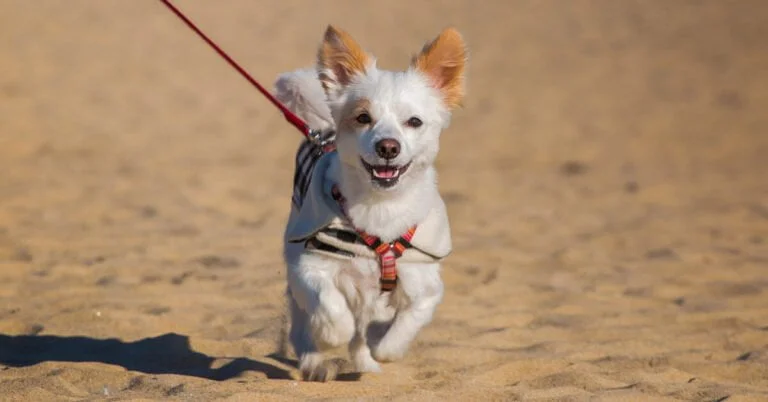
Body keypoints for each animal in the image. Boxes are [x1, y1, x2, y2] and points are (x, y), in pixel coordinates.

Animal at [276, 25, 468, 384]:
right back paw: (315, 361)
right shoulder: (309, 266)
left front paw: (383, 344)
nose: (388, 147)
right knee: (303, 327)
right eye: (363, 117)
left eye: (414, 122)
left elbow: (401, 327)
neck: (380, 208)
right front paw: (330, 333)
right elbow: (332, 309)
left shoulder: (426, 284)